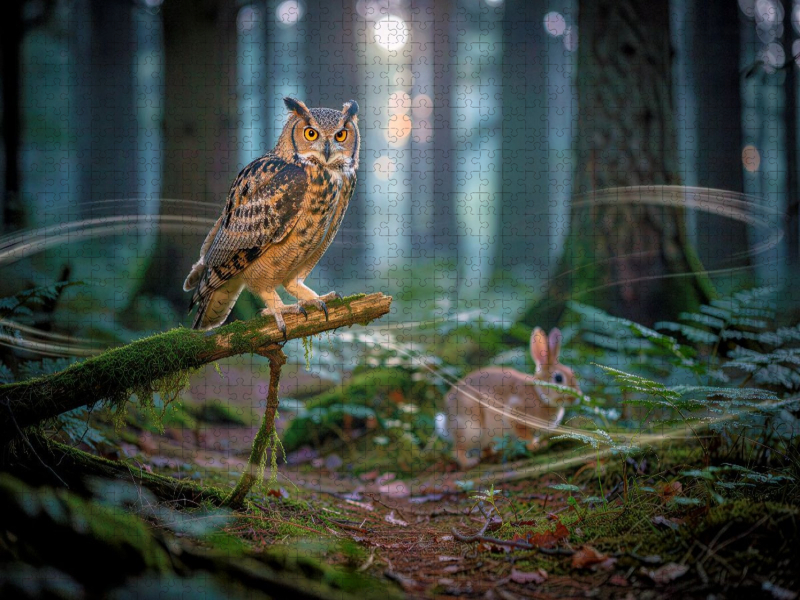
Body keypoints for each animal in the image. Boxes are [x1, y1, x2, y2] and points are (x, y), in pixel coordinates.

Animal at [444, 327, 581, 469]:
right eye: (558, 378)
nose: (577, 398)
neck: (539, 394)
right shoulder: (516, 414)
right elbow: (524, 435)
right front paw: (534, 446)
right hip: (471, 428)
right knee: (457, 449)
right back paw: (469, 462)